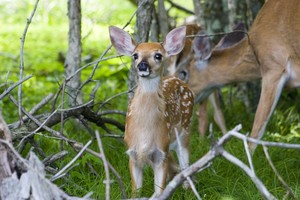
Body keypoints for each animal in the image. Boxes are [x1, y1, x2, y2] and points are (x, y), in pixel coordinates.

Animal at [109, 25, 193, 197]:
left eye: (158, 55)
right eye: (135, 55)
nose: (142, 65)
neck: (145, 134)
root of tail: (176, 77)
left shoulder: (161, 154)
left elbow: (160, 192)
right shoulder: (132, 153)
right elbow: (136, 192)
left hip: (185, 131)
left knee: (185, 165)